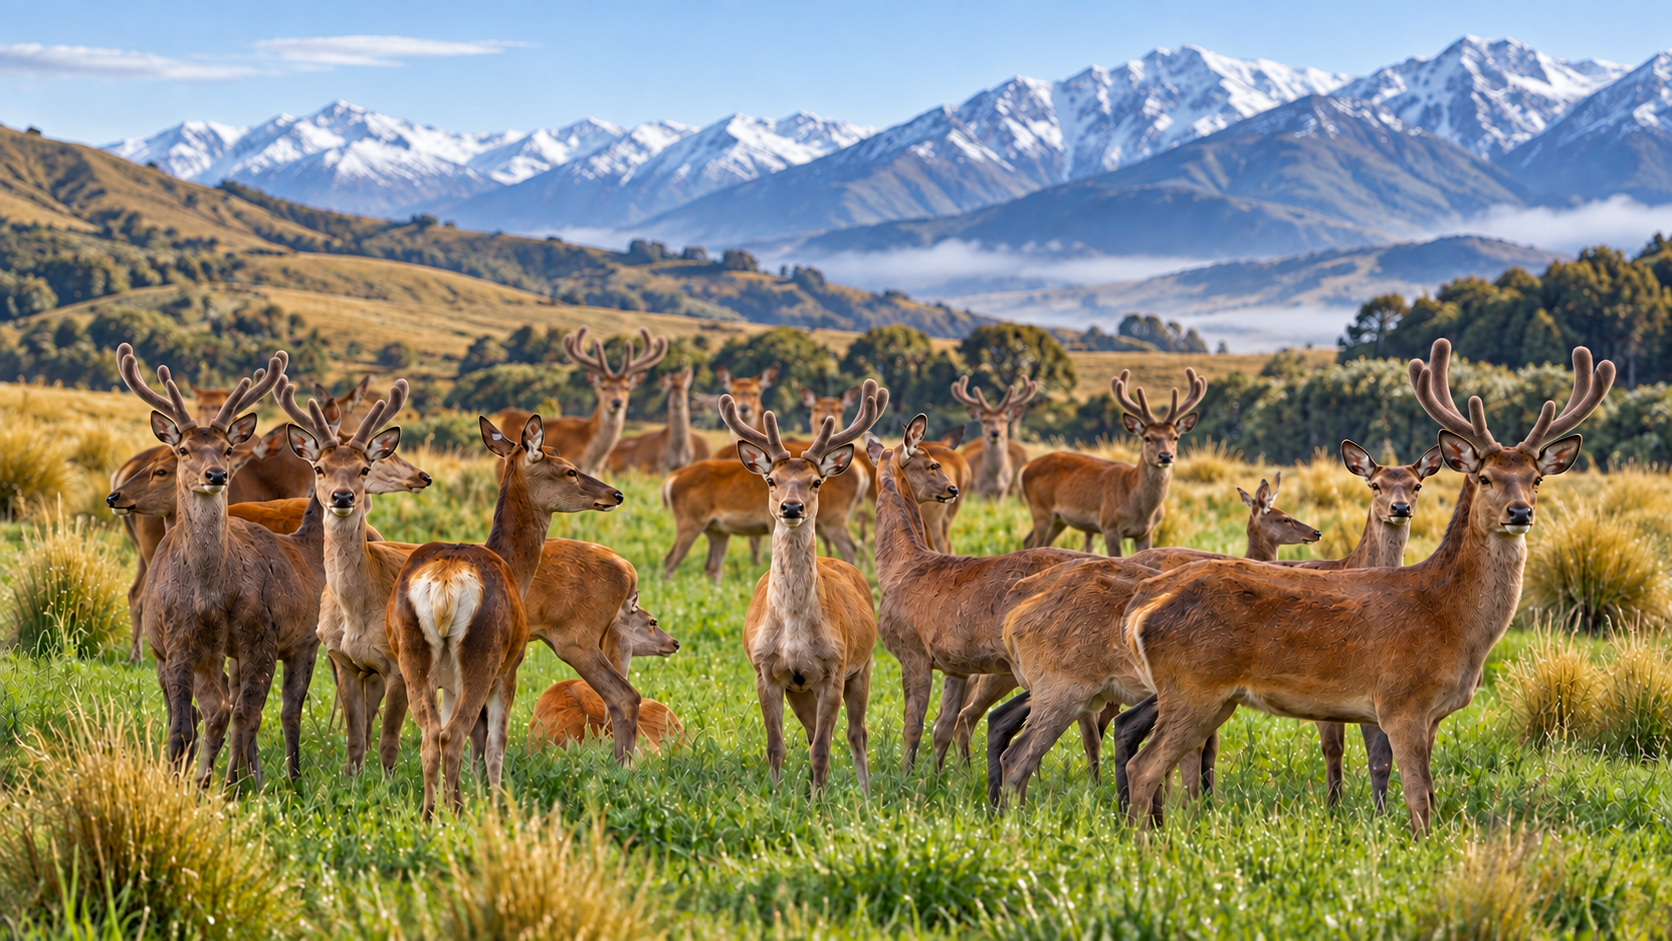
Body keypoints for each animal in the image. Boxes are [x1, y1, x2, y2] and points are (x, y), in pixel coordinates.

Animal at [116, 343, 328, 786]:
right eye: (183, 450)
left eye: (227, 449)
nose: (215, 474)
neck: (206, 592)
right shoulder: (180, 645)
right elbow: (183, 726)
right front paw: (182, 783)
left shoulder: (250, 639)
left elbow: (238, 714)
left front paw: (226, 783)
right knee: (204, 712)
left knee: (224, 712)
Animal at [387, 414, 625, 818]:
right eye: (569, 470)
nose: (615, 494)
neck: (516, 568)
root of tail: (446, 582)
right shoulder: (511, 668)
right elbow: (495, 744)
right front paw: (497, 800)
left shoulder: (448, 682)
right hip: (483, 655)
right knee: (453, 735)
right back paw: (457, 812)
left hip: (413, 654)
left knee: (431, 735)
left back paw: (431, 812)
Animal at [720, 379, 887, 791]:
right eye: (771, 480)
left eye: (815, 482)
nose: (792, 507)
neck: (794, 626)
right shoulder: (766, 671)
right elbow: (776, 745)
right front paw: (776, 793)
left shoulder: (834, 669)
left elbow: (824, 749)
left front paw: (817, 799)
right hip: (802, 689)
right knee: (813, 733)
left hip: (864, 665)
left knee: (856, 734)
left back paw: (865, 792)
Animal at [1021, 369, 1206, 554]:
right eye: (1147, 437)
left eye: (1175, 437)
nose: (1166, 456)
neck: (1141, 510)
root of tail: (1025, 468)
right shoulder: (1109, 525)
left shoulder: (1146, 533)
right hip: (1041, 509)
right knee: (1032, 541)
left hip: (1059, 519)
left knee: (1032, 541)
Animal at [1120, 339, 1609, 833]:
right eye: (1485, 477)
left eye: (1536, 479)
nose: (1520, 512)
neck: (1451, 622)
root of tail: (1143, 609)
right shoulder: (1400, 701)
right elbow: (1418, 797)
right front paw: (1418, 842)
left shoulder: (1433, 715)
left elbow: (1426, 791)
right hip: (1193, 686)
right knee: (1145, 764)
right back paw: (1146, 840)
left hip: (1210, 697)